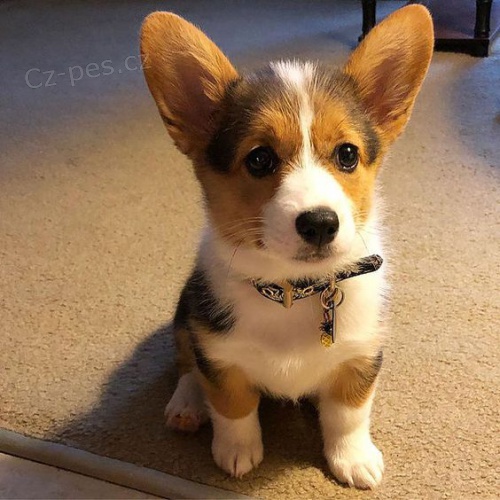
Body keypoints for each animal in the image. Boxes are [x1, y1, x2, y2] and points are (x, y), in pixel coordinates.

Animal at [141, 4, 434, 488]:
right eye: (259, 159)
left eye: (348, 155)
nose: (320, 223)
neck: (296, 289)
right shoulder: (219, 354)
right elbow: (232, 405)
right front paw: (237, 453)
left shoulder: (362, 353)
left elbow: (349, 412)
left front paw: (353, 458)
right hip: (186, 312)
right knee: (185, 361)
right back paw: (186, 404)